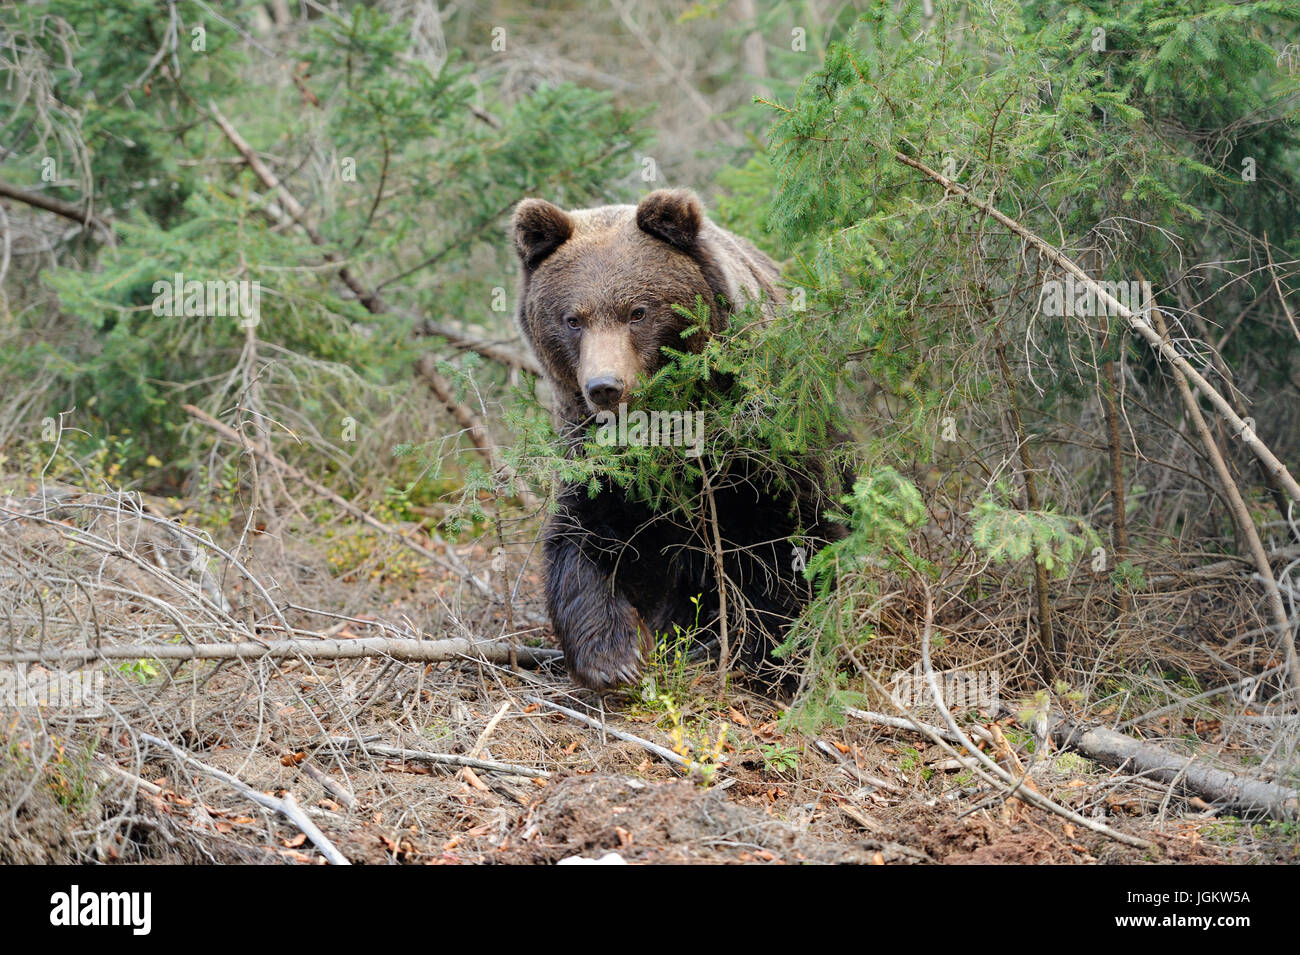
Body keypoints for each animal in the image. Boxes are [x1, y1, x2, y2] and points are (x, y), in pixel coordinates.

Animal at [511, 189, 844, 690]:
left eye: (638, 311)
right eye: (572, 319)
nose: (605, 387)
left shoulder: (757, 443)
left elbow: (791, 533)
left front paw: (768, 652)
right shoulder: (598, 460)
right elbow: (583, 540)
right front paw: (615, 656)